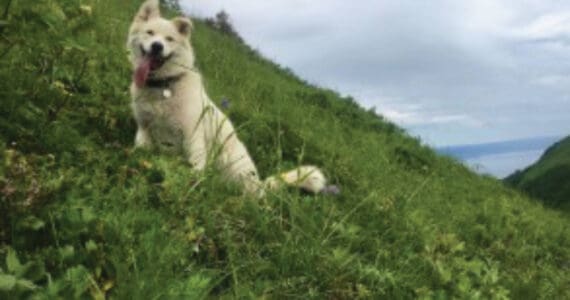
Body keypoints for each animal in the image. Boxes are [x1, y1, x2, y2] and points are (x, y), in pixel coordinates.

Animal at [126, 0, 326, 197]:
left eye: (169, 39)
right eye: (150, 32)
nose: (157, 46)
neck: (164, 86)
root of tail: (260, 185)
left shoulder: (192, 135)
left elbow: (196, 166)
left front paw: (192, 185)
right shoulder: (144, 129)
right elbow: (141, 149)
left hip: (229, 160)